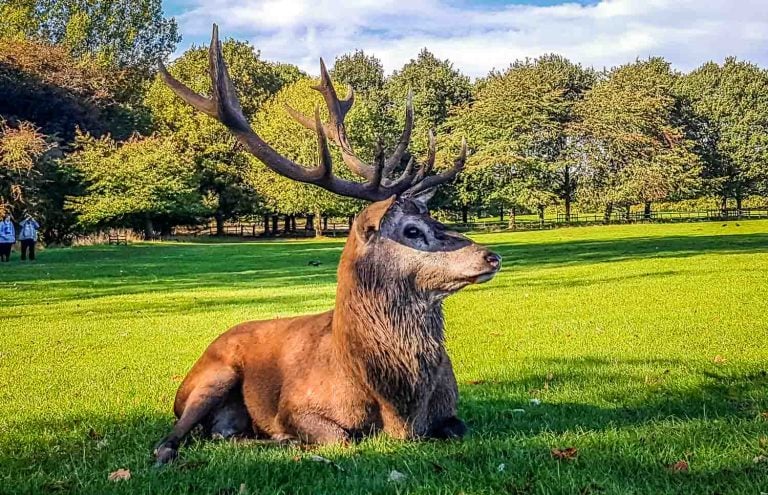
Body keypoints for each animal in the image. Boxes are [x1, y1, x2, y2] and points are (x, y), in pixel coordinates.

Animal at [156, 25, 504, 464]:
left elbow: (459, 427)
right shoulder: (296, 405)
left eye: (435, 218)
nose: (491, 256)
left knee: (222, 433)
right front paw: (298, 437)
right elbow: (340, 437)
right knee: (172, 438)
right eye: (411, 230)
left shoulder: (450, 410)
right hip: (210, 377)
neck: (399, 407)